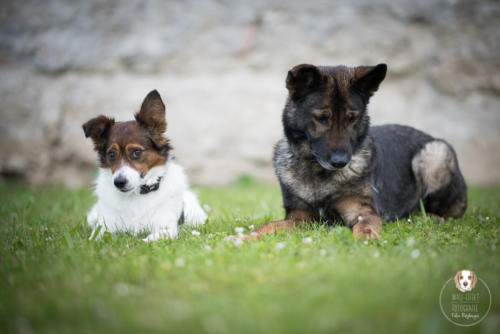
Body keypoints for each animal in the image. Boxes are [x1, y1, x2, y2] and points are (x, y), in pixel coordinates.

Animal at [84, 88, 207, 241]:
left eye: (136, 152)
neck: (137, 194)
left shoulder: (166, 229)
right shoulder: (105, 226)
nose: (119, 182)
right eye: (111, 154)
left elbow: (147, 240)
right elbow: (95, 238)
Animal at [252, 63, 466, 240]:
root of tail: (428, 136)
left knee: (447, 212)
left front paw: (367, 240)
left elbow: (364, 227)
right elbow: (268, 226)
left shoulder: (362, 211)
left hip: (435, 153)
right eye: (322, 118)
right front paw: (247, 237)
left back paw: (432, 218)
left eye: (351, 119)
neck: (318, 173)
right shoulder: (299, 217)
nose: (340, 162)